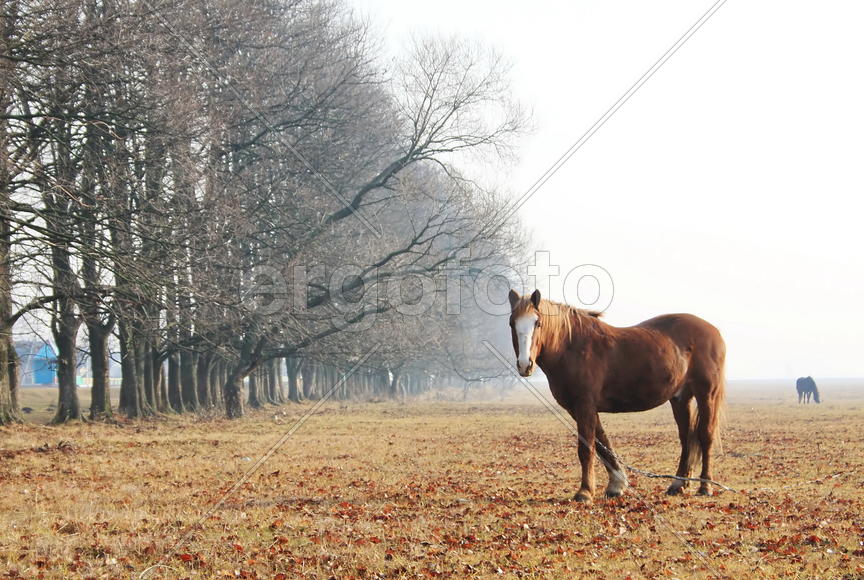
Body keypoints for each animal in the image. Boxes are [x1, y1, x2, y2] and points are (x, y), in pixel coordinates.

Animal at [508, 289, 726, 502]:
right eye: (512, 323)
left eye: (538, 323)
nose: (525, 364)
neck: (571, 347)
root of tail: (714, 331)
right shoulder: (578, 408)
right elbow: (602, 443)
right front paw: (616, 485)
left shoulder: (585, 405)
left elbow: (586, 448)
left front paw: (585, 492)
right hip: (680, 399)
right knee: (686, 437)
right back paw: (678, 484)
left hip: (706, 395)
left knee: (705, 436)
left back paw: (705, 486)